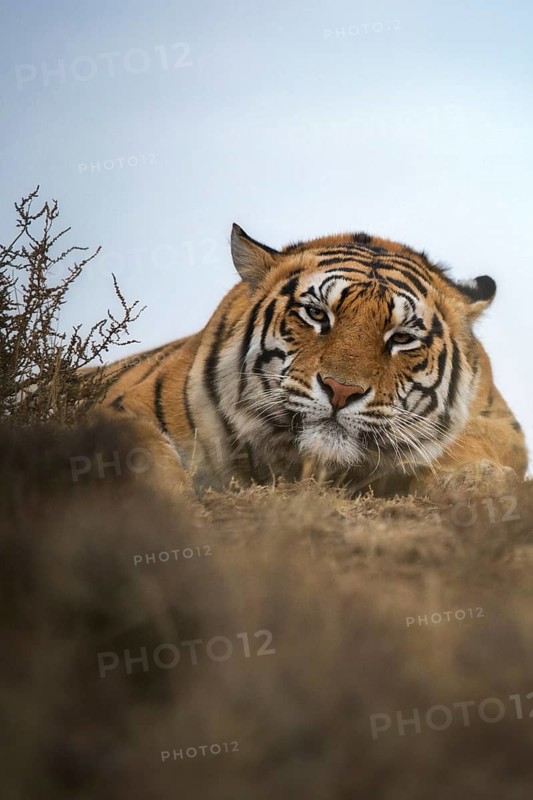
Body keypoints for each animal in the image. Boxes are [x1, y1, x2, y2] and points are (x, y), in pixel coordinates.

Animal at [91, 224, 528, 497]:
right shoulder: (122, 406)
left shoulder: (498, 422)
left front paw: (476, 479)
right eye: (317, 314)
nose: (341, 390)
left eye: (402, 338)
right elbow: (141, 447)